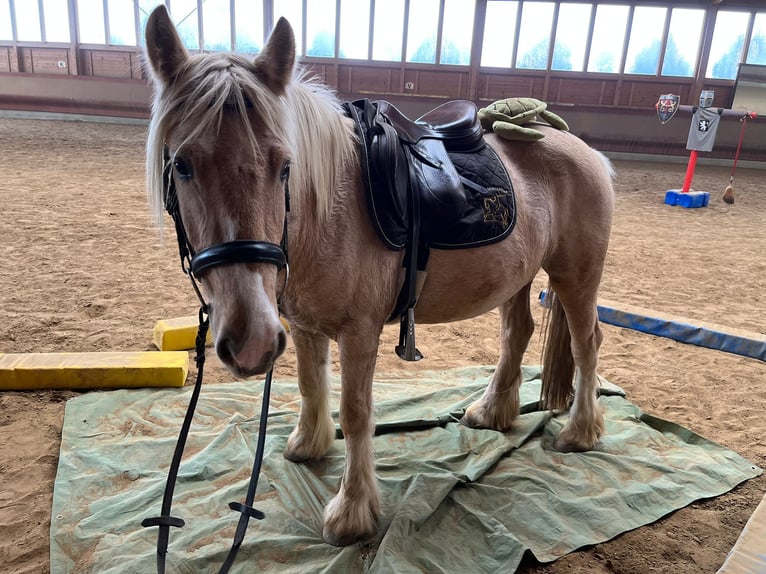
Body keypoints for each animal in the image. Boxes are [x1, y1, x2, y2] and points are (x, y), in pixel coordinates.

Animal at [146, 7, 616, 548]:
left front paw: (352, 511)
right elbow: (311, 384)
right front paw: (308, 444)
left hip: (575, 275)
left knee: (586, 342)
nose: (251, 341)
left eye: (285, 166)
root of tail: (585, 151)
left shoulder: (359, 331)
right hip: (516, 278)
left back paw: (580, 431)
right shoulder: (303, 325)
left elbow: (355, 413)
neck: (325, 212)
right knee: (517, 333)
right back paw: (493, 412)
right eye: (182, 164)